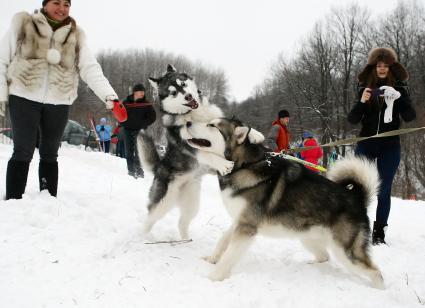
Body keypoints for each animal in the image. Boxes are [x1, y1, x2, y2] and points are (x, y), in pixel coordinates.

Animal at [137, 64, 232, 238]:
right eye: (173, 93)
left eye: (183, 84)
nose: (188, 96)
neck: (194, 115)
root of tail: (159, 167)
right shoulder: (190, 144)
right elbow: (207, 154)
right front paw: (223, 164)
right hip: (163, 202)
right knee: (150, 218)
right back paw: (142, 236)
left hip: (192, 202)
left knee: (182, 223)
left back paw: (186, 240)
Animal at [186, 118, 384, 288]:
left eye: (212, 125)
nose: (187, 122)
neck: (244, 165)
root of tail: (357, 199)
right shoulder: (240, 221)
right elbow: (223, 241)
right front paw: (212, 259)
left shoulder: (246, 227)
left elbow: (229, 255)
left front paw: (213, 277)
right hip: (308, 238)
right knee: (324, 256)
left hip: (346, 251)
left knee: (376, 272)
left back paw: (378, 289)